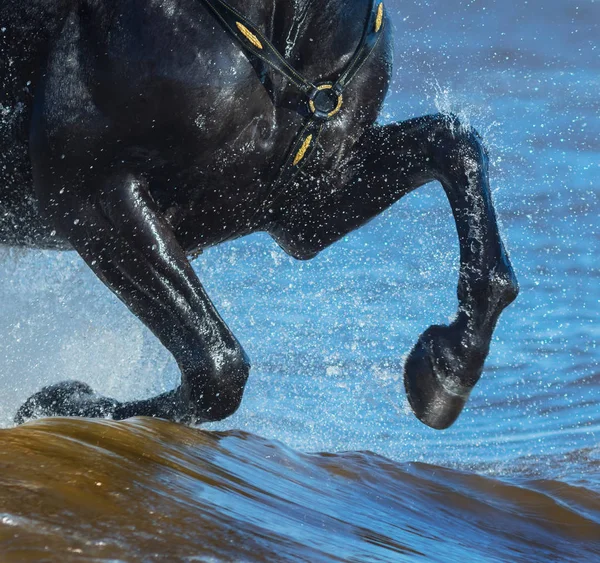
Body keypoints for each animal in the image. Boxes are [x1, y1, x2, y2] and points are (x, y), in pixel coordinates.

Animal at [0, 0, 516, 430]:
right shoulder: (89, 190)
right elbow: (218, 368)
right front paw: (59, 402)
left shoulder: (303, 207)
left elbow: (454, 142)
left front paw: (445, 368)